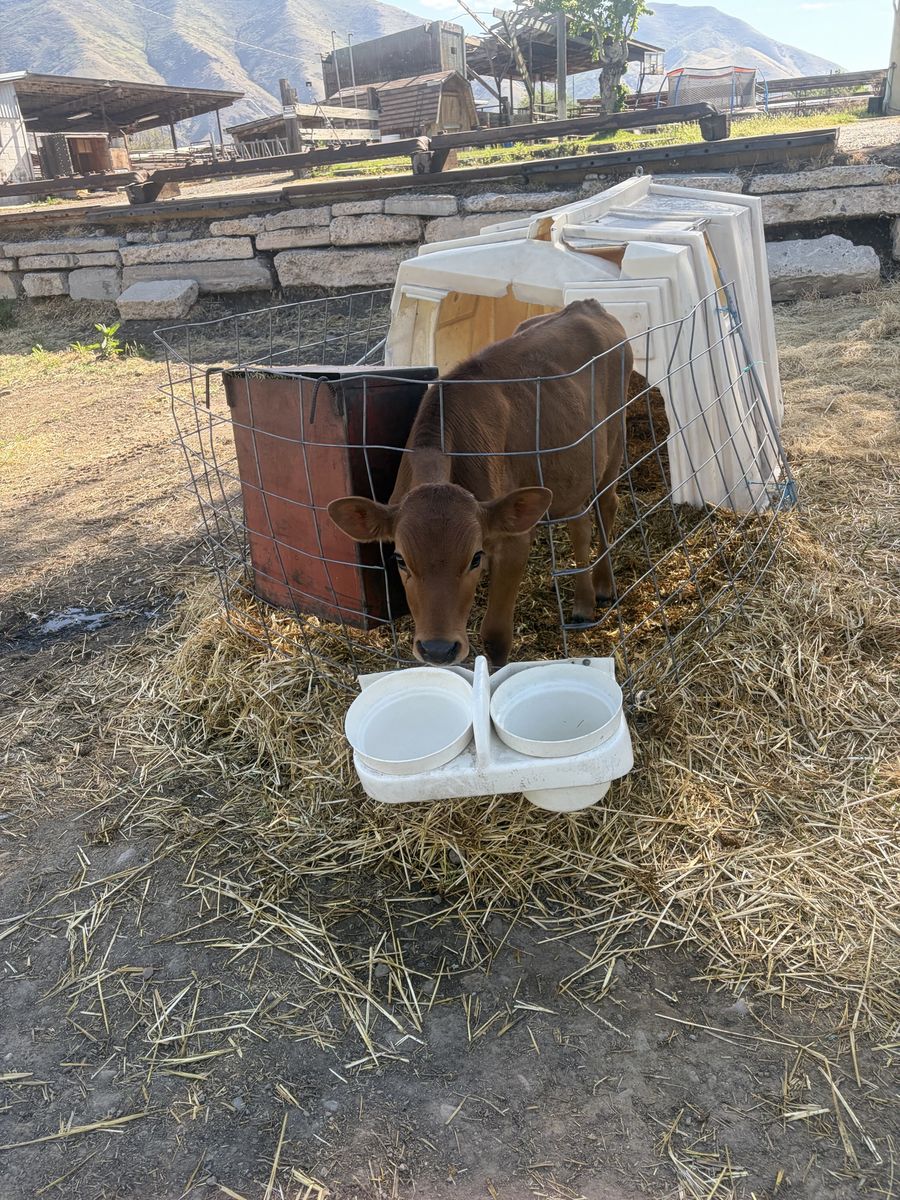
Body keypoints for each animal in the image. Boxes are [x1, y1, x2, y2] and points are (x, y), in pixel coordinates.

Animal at [328, 299, 633, 669]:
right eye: (399, 559)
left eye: (474, 558)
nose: (438, 649)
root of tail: (585, 305)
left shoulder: (513, 540)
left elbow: (496, 636)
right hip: (570, 467)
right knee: (580, 522)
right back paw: (583, 603)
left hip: (615, 438)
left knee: (606, 507)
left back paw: (603, 586)